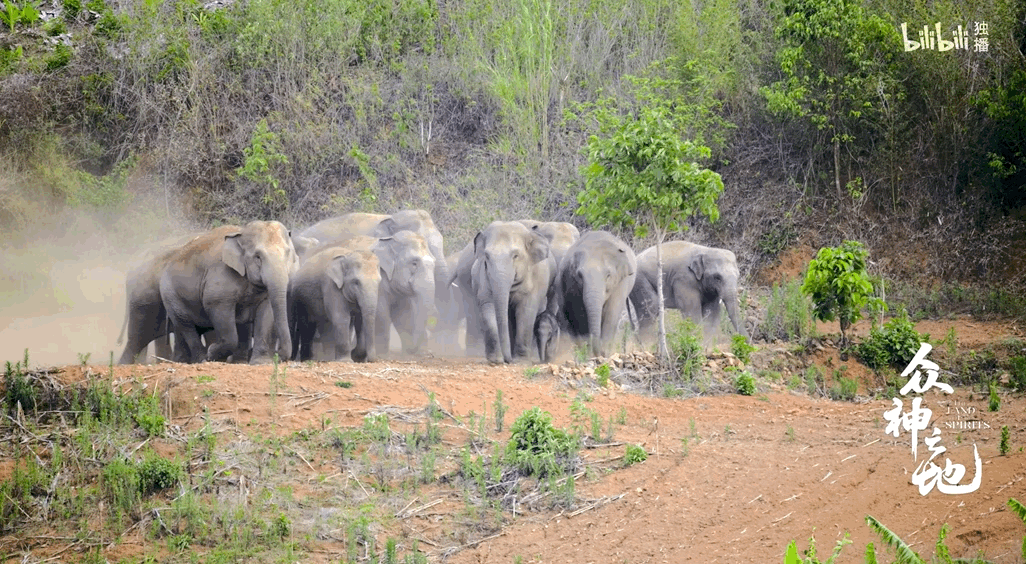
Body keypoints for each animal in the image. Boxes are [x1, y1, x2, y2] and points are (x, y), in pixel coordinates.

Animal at [159, 220, 297, 364]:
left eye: (288, 253)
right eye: (258, 257)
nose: (278, 354)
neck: (241, 232)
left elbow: (266, 311)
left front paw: (261, 362)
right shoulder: (219, 279)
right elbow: (219, 309)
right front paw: (212, 353)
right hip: (170, 295)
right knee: (185, 325)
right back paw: (202, 359)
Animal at [453, 221, 554, 364]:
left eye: (515, 256)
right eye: (487, 256)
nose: (507, 360)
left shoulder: (537, 279)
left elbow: (526, 311)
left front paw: (521, 361)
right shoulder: (482, 276)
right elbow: (488, 306)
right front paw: (495, 360)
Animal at [552, 230, 637, 359]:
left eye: (608, 275)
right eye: (579, 275)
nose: (599, 353)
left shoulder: (622, 282)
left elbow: (611, 312)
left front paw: (605, 353)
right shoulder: (571, 283)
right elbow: (580, 314)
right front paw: (588, 353)